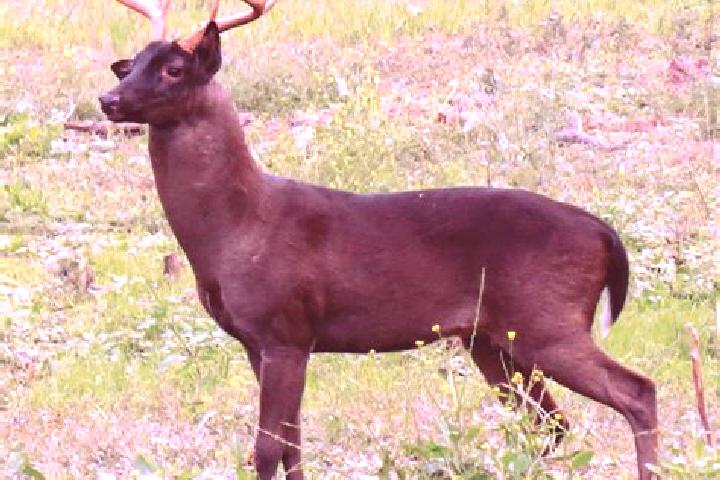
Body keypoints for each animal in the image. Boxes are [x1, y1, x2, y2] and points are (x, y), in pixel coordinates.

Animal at [97, 1, 658, 478]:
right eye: (130, 66)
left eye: (174, 69)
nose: (108, 99)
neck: (235, 229)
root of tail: (605, 234)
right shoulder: (263, 343)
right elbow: (293, 445)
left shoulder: (285, 328)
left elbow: (267, 449)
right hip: (491, 338)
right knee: (549, 423)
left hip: (549, 317)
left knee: (636, 391)